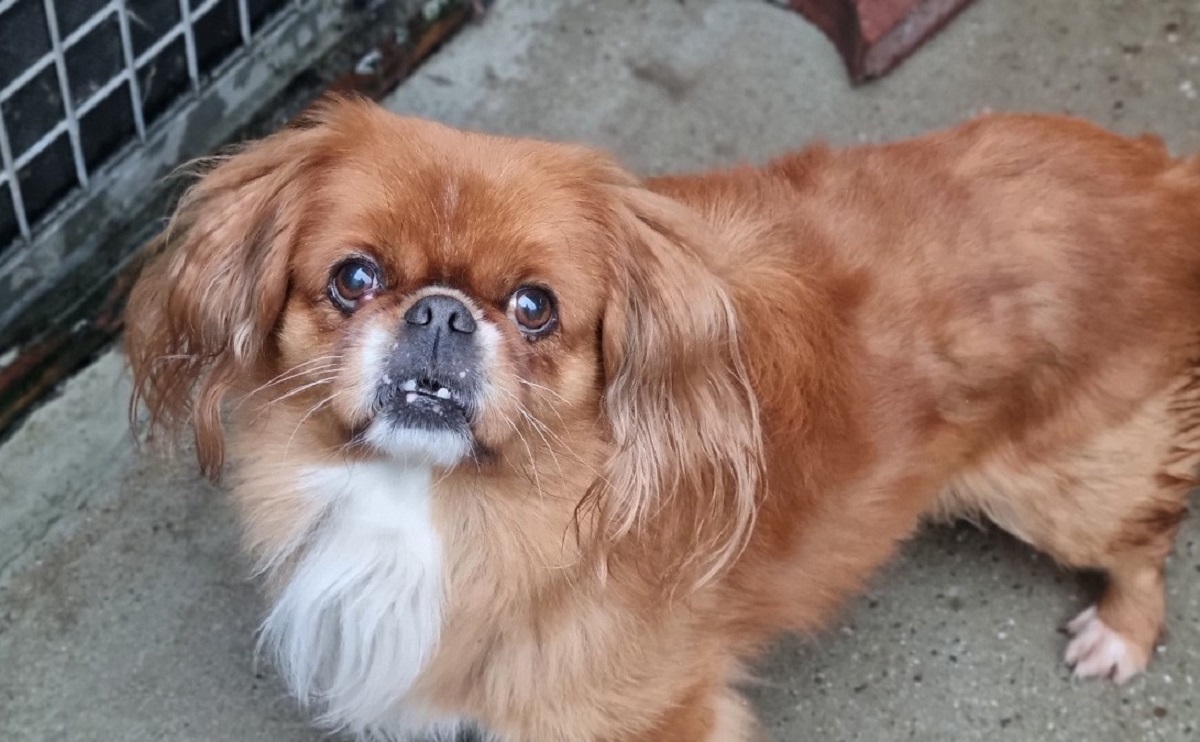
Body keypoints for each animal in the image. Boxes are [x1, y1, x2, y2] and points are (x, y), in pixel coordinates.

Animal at [121, 95, 1200, 734]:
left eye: (534, 307)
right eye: (353, 279)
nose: (439, 311)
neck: (438, 501)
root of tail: (1162, 174)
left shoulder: (648, 712)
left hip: (1067, 483)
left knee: (1142, 542)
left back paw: (1120, 631)